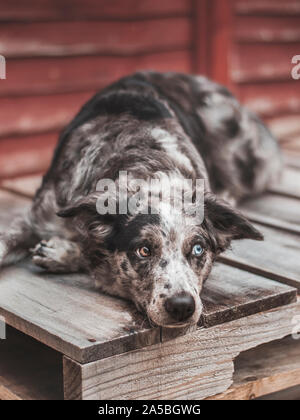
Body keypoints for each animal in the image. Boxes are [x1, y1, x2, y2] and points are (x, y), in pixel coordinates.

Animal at [0, 71, 282, 328]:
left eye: (198, 249)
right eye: (144, 250)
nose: (182, 306)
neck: (146, 164)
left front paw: (64, 253)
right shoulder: (38, 218)